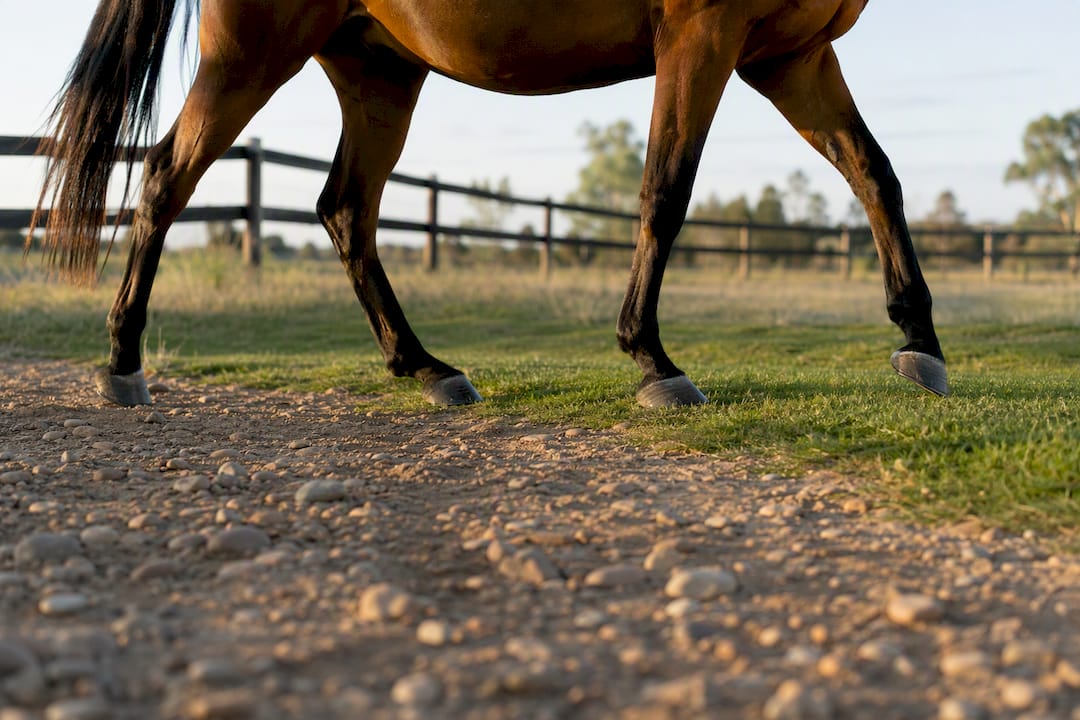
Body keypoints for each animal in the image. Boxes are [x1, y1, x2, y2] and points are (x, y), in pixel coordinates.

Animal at [30, 0, 949, 408]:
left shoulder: (790, 55)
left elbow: (876, 174)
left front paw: (920, 342)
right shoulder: (703, 36)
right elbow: (665, 190)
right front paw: (652, 360)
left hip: (378, 72)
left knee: (345, 210)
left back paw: (426, 367)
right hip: (252, 55)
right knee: (164, 179)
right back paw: (122, 366)